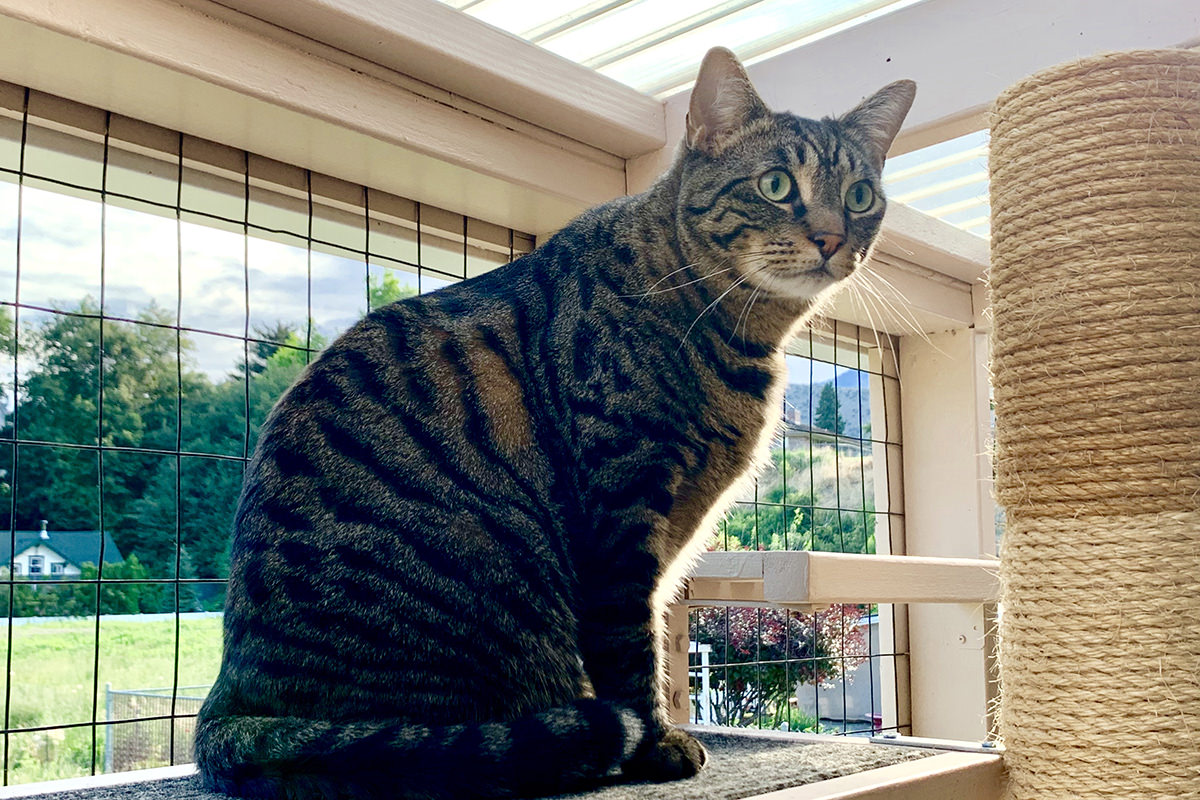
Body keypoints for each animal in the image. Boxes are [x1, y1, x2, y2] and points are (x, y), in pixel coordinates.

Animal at [194, 48, 907, 800]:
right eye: (776, 184)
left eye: (860, 196)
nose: (833, 237)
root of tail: (229, 696)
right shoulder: (622, 510)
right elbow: (630, 648)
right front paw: (656, 743)